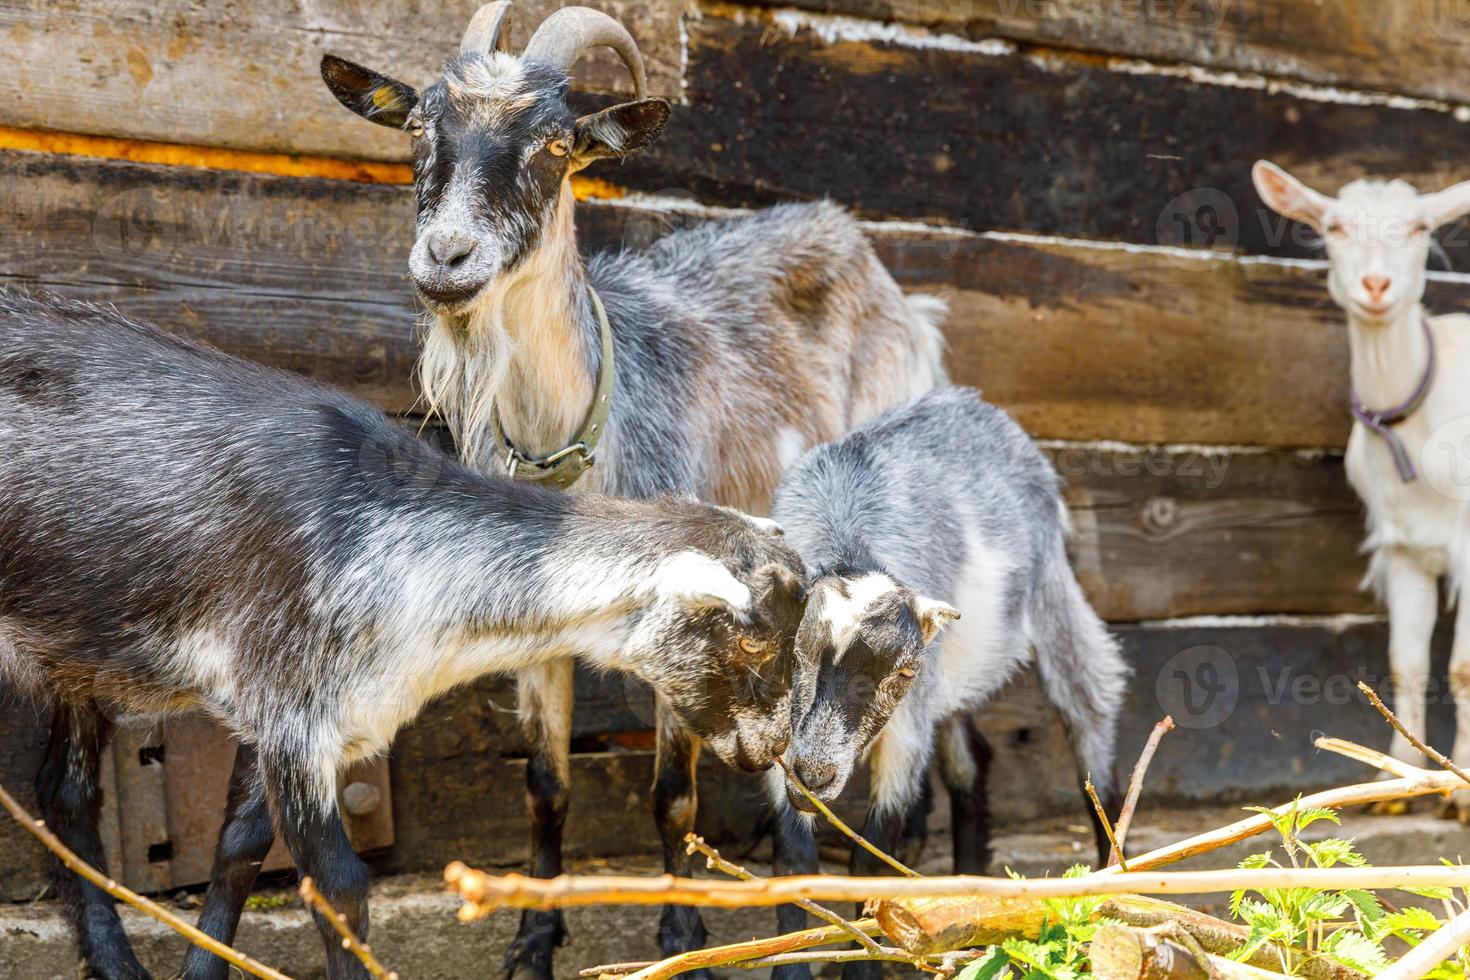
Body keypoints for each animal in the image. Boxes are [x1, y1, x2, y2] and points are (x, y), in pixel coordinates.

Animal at [0, 290, 805, 980]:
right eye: (754, 640)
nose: (771, 751)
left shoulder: (275, 707)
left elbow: (237, 848)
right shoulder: (294, 715)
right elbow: (339, 887)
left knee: (64, 791)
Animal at [318, 5, 940, 975]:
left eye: (555, 144)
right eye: (419, 127)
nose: (446, 258)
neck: (579, 437)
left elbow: (672, 795)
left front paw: (680, 932)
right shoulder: (533, 629)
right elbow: (544, 783)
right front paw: (533, 938)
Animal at [764, 387, 1128, 980]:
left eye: (902, 671)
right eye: (794, 653)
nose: (816, 775)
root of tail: (976, 405)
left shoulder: (906, 723)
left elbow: (871, 854)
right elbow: (793, 855)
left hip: (1052, 592)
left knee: (1091, 702)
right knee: (971, 757)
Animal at [1258, 163, 1470, 822]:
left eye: (1422, 226)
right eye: (1333, 226)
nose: (1377, 285)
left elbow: (1463, 667)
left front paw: (1461, 793)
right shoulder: (1403, 547)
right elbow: (1406, 662)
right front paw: (1401, 782)